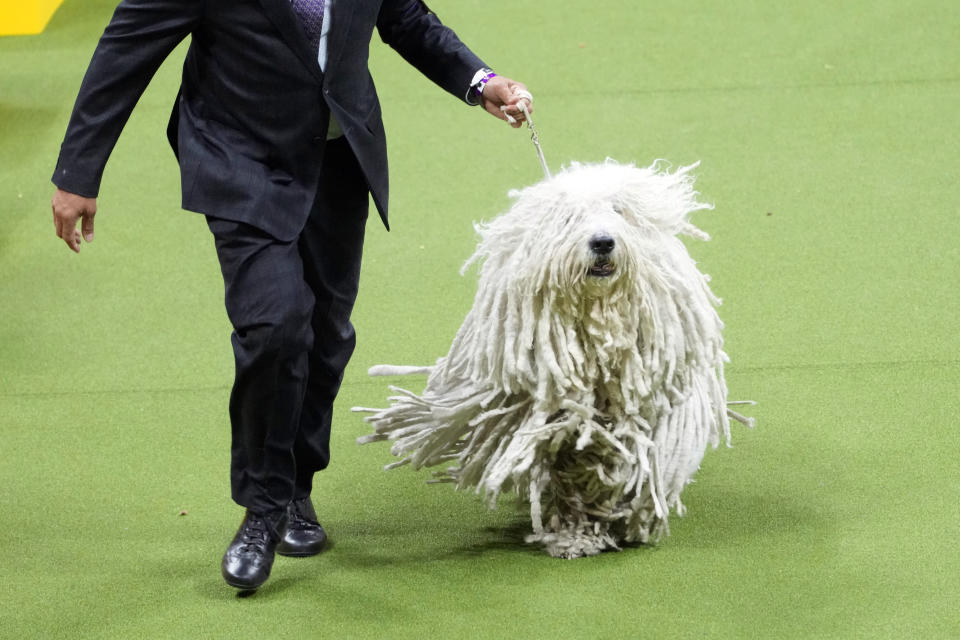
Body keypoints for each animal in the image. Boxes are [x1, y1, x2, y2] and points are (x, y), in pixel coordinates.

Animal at [356, 161, 752, 560]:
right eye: (568, 218)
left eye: (618, 211)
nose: (603, 242)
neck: (597, 330)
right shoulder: (550, 420)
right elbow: (571, 469)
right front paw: (575, 532)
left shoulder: (648, 407)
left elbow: (633, 464)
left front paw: (624, 516)